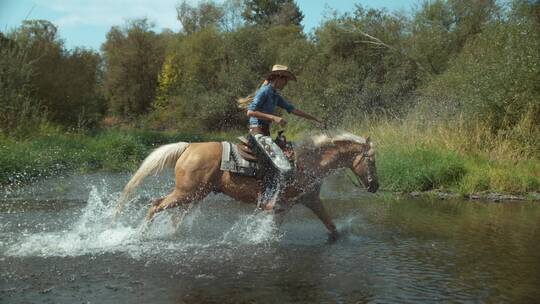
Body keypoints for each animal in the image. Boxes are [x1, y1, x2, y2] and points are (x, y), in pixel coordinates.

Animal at [114, 131, 378, 240]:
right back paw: (139, 235)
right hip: (185, 193)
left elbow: (331, 226)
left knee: (173, 216)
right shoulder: (292, 203)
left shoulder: (304, 201)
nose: (375, 186)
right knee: (155, 205)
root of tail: (188, 146)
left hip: (194, 195)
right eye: (372, 160)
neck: (308, 163)